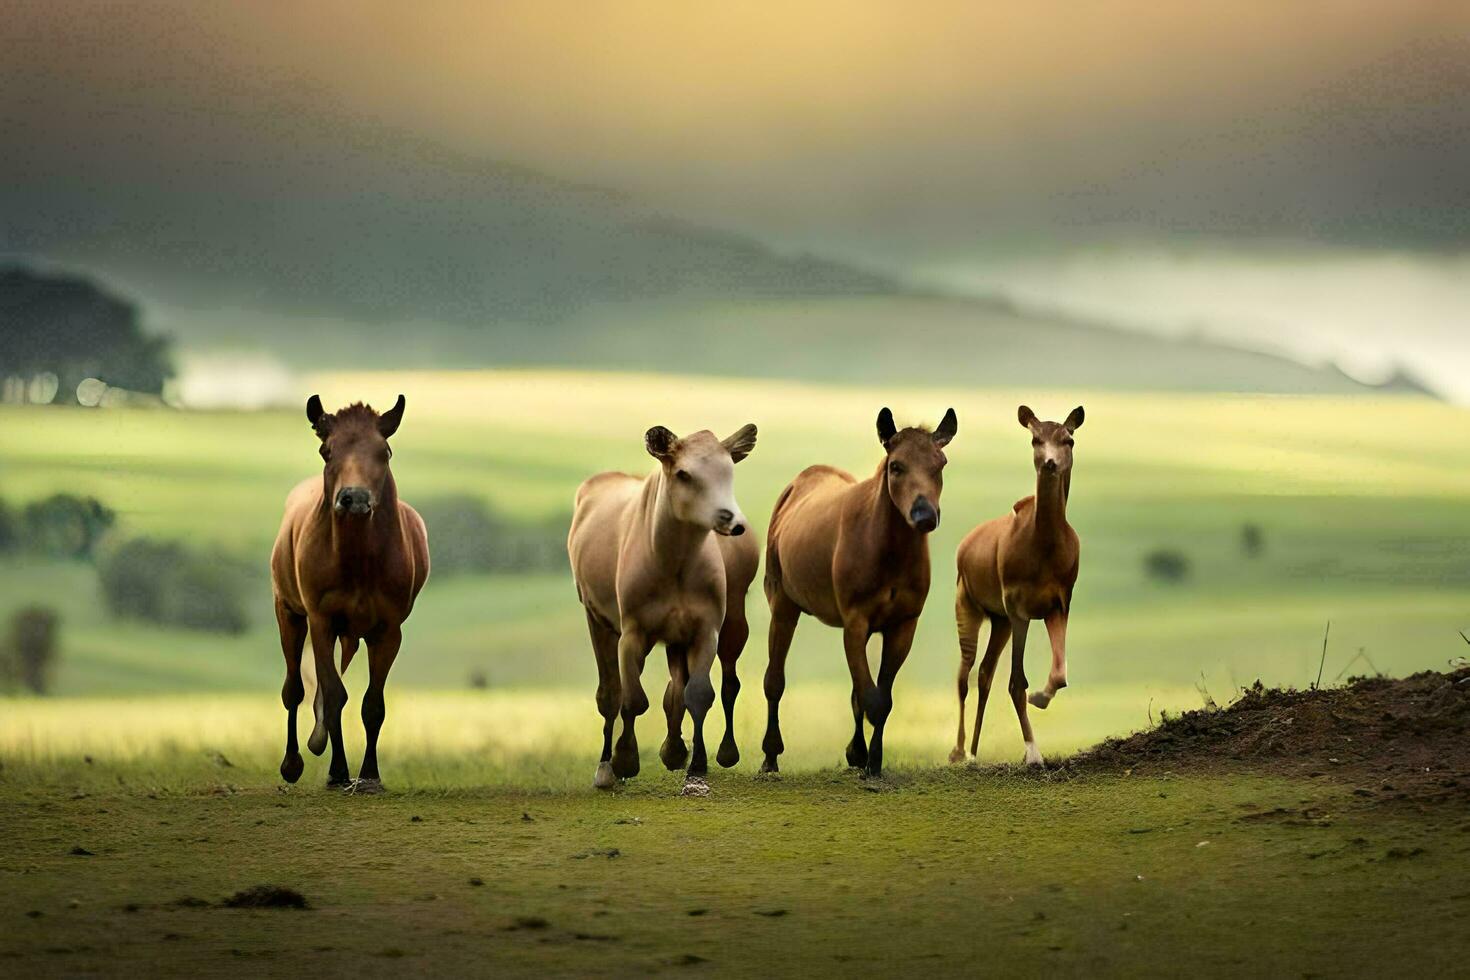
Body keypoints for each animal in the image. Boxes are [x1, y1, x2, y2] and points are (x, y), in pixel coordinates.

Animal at [271, 393, 429, 793]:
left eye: (384, 451)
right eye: (327, 450)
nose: (354, 498)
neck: (358, 561)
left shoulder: (387, 629)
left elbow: (373, 704)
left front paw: (369, 775)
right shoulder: (321, 620)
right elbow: (333, 693)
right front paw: (338, 771)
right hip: (288, 612)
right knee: (294, 688)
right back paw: (293, 762)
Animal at [567, 426, 758, 793]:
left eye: (729, 470)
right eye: (684, 473)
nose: (731, 518)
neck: (675, 562)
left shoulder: (705, 629)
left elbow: (698, 693)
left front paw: (696, 768)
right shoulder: (632, 632)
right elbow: (632, 698)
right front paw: (624, 760)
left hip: (731, 623)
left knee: (717, 685)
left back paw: (704, 751)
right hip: (597, 619)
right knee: (611, 692)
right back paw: (607, 765)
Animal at [764, 405, 958, 775]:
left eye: (940, 463)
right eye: (896, 465)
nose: (924, 514)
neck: (887, 553)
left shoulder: (902, 626)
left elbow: (878, 696)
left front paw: (871, 759)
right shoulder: (855, 622)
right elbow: (871, 697)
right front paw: (861, 754)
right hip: (782, 605)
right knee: (774, 681)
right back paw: (769, 756)